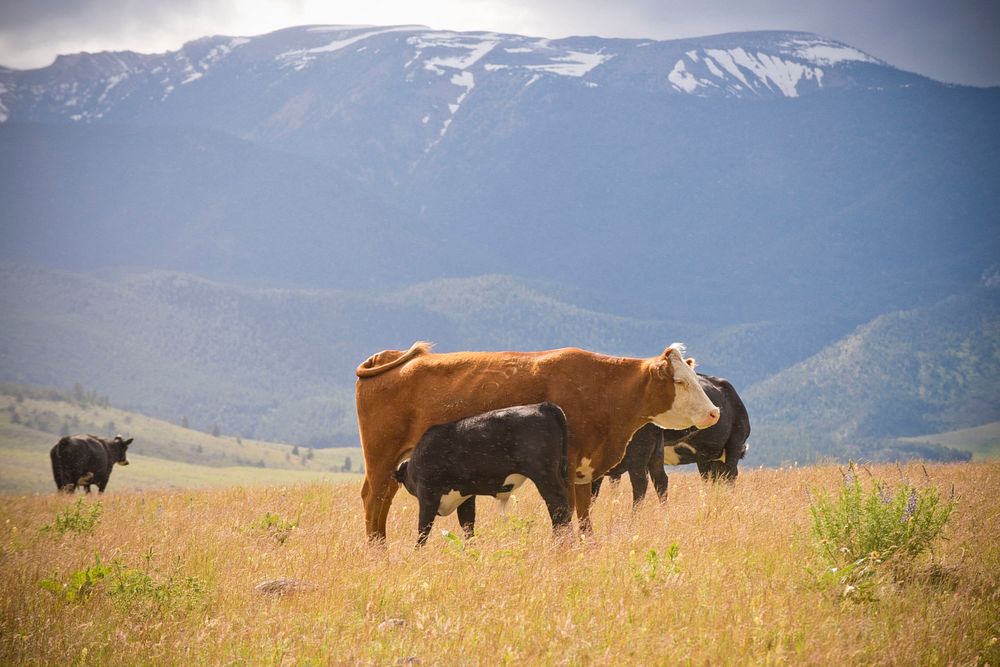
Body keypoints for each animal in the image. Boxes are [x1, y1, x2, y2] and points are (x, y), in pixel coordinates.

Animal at [394, 402, 576, 548]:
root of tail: (542, 406)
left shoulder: (428, 496)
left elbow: (423, 530)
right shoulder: (466, 497)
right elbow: (467, 526)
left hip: (545, 477)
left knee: (558, 510)